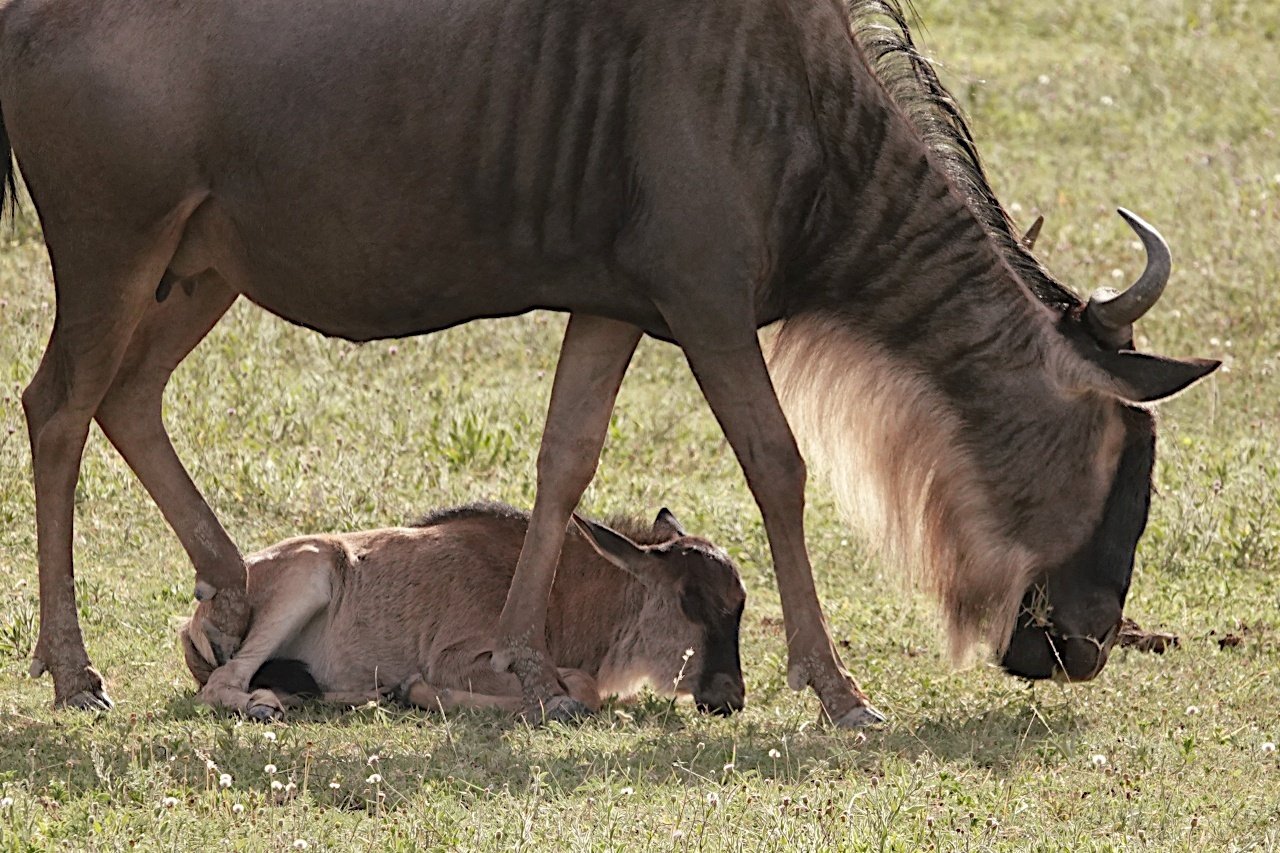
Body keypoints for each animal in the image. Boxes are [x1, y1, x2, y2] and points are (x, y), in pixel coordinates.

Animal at [175, 502, 747, 712]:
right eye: (693, 600)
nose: (732, 696)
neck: (565, 591)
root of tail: (189, 625)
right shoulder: (460, 658)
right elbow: (579, 690)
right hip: (312, 570)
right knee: (222, 684)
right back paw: (260, 704)